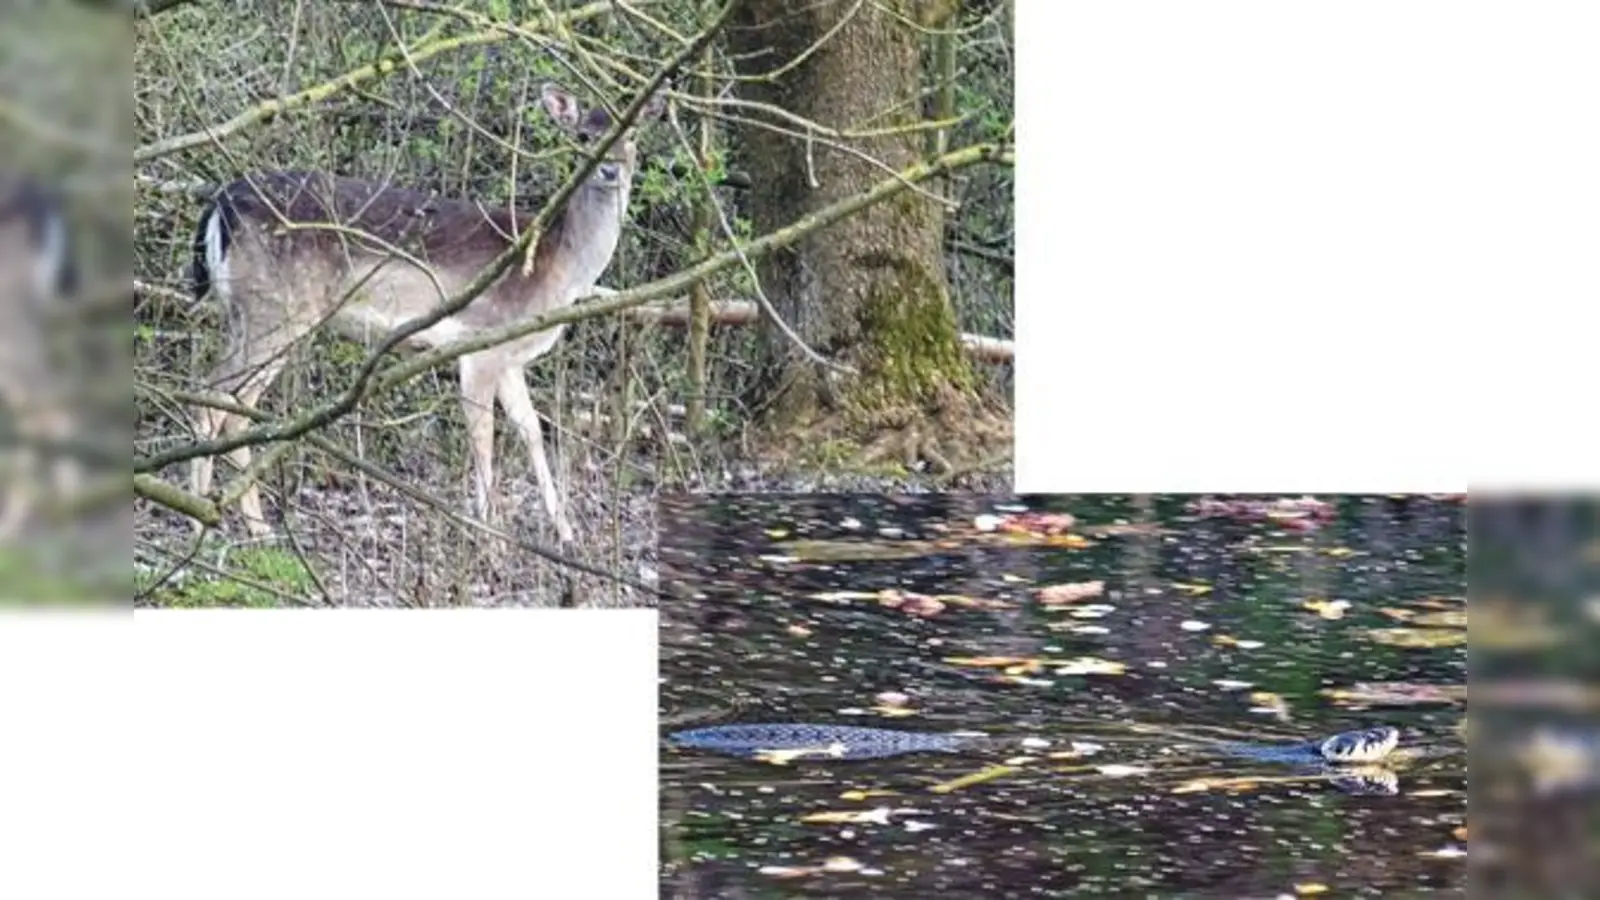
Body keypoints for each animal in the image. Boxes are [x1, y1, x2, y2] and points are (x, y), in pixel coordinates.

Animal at [187, 82, 666, 544]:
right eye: (584, 136)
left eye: (633, 134)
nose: (611, 170)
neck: (558, 269)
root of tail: (222, 204)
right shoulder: (480, 344)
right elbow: (483, 436)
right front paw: (491, 539)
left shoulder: (511, 356)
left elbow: (530, 428)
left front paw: (565, 534)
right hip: (279, 310)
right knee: (224, 401)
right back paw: (226, 525)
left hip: (244, 312)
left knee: (218, 394)